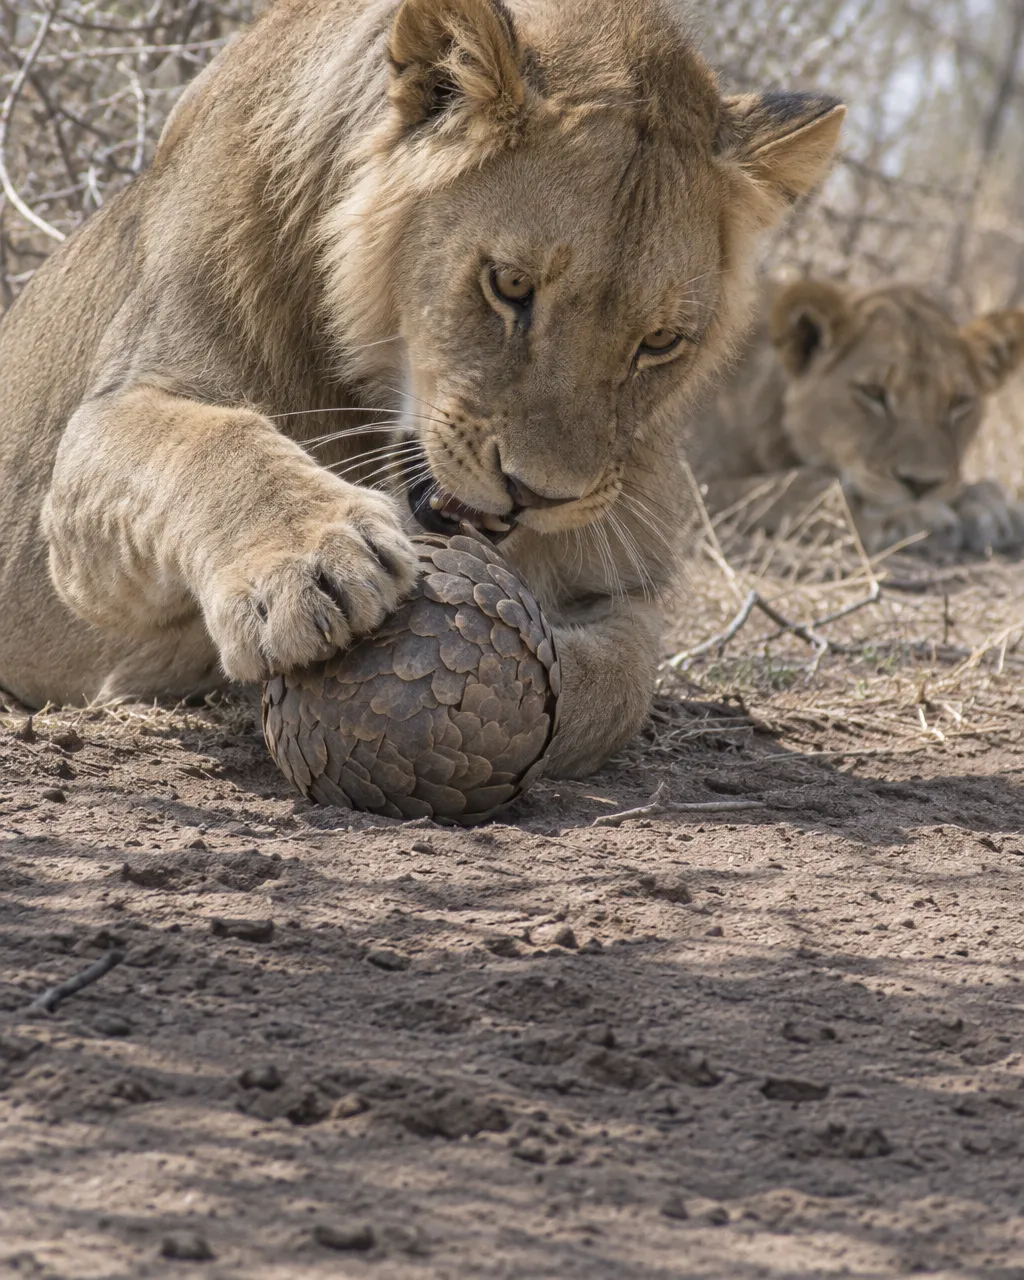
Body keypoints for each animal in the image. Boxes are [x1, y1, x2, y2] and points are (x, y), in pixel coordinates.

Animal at [0, 0, 843, 778]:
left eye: (661, 342)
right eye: (509, 286)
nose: (538, 495)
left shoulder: (622, 573)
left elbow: (626, 677)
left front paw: (512, 678)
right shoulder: (97, 455)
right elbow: (208, 441)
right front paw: (313, 561)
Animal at [689, 278, 1024, 556]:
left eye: (959, 402)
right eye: (873, 392)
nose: (922, 485)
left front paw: (991, 507)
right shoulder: (694, 481)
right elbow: (800, 489)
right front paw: (914, 518)